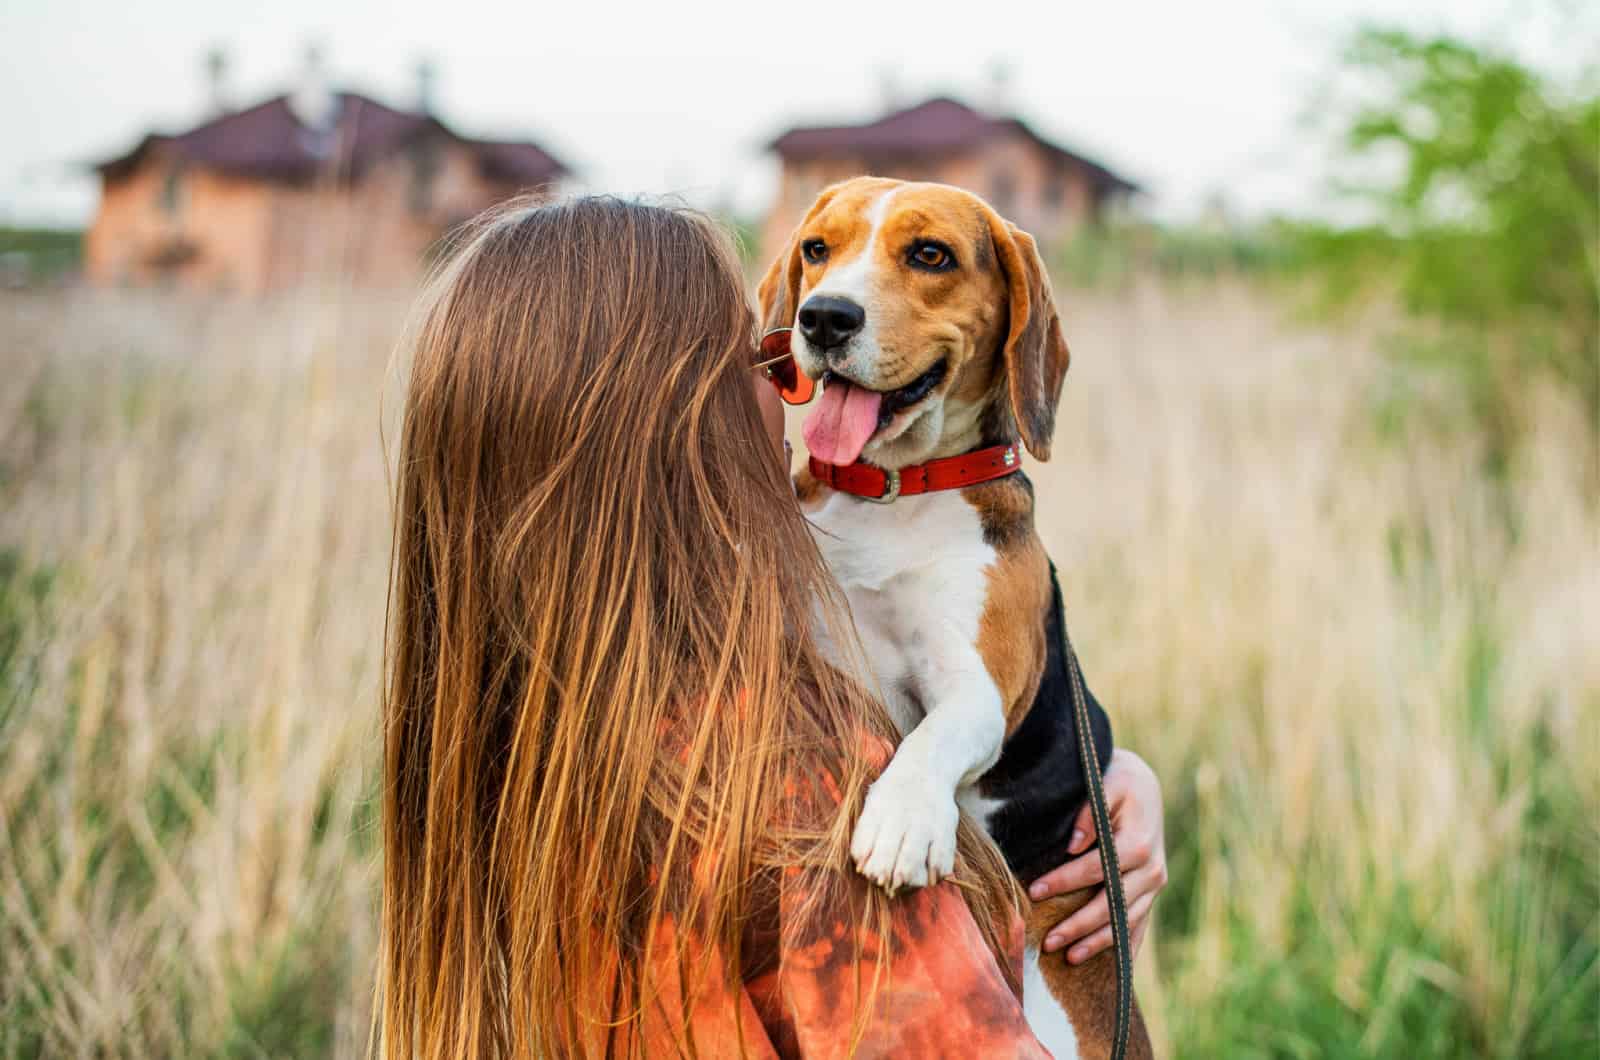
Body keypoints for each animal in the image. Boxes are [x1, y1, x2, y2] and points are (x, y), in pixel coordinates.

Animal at [761, 178, 1152, 1056]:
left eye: (930, 255)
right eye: (817, 249)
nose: (825, 318)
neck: (894, 492)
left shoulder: (977, 685)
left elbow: (937, 732)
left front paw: (904, 819)